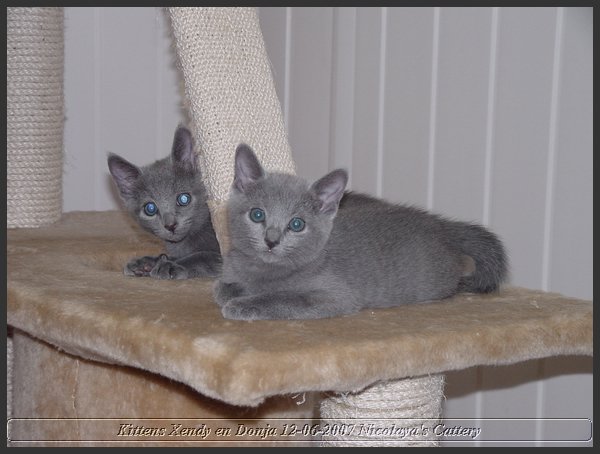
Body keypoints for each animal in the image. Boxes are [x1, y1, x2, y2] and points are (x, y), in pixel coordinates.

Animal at [107, 126, 220, 278]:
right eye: (150, 208)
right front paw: (146, 262)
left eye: (184, 199)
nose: (170, 225)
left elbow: (204, 256)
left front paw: (171, 265)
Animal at [214, 145, 506, 320]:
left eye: (297, 224)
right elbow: (221, 286)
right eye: (257, 215)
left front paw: (243, 304)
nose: (271, 240)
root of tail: (441, 225)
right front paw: (234, 291)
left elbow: (284, 298)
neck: (263, 271)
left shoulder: (335, 297)